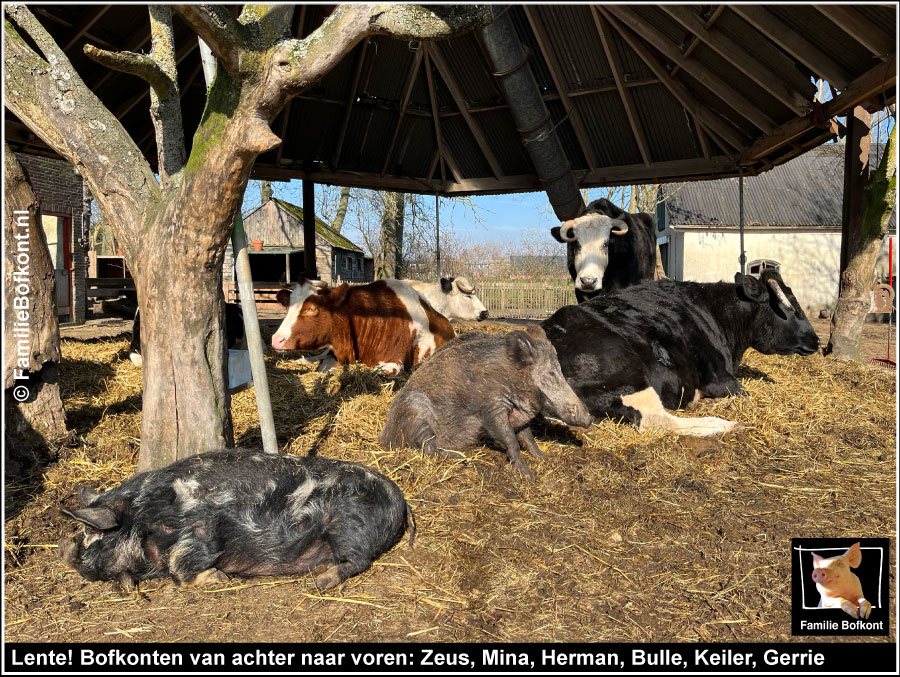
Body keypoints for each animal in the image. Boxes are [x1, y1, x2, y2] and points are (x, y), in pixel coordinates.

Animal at [58, 448, 416, 592]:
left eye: (93, 535)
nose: (65, 549)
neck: (142, 514)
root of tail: (399, 498)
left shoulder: (200, 528)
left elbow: (180, 564)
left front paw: (218, 578)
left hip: (346, 526)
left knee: (360, 560)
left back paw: (321, 582)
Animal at [270, 278, 454, 374]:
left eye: (311, 308)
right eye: (288, 307)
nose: (276, 340)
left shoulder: (395, 362)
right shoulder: (335, 352)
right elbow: (324, 367)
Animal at [378, 324, 596, 478]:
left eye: (560, 370)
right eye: (551, 373)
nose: (589, 418)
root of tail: (384, 437)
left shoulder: (517, 413)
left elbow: (528, 436)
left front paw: (544, 457)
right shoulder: (492, 408)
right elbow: (511, 439)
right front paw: (529, 476)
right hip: (416, 411)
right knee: (428, 448)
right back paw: (462, 456)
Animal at [540, 266, 824, 436]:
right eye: (789, 308)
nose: (816, 341)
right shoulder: (721, 379)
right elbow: (744, 393)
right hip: (624, 369)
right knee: (656, 421)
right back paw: (723, 424)